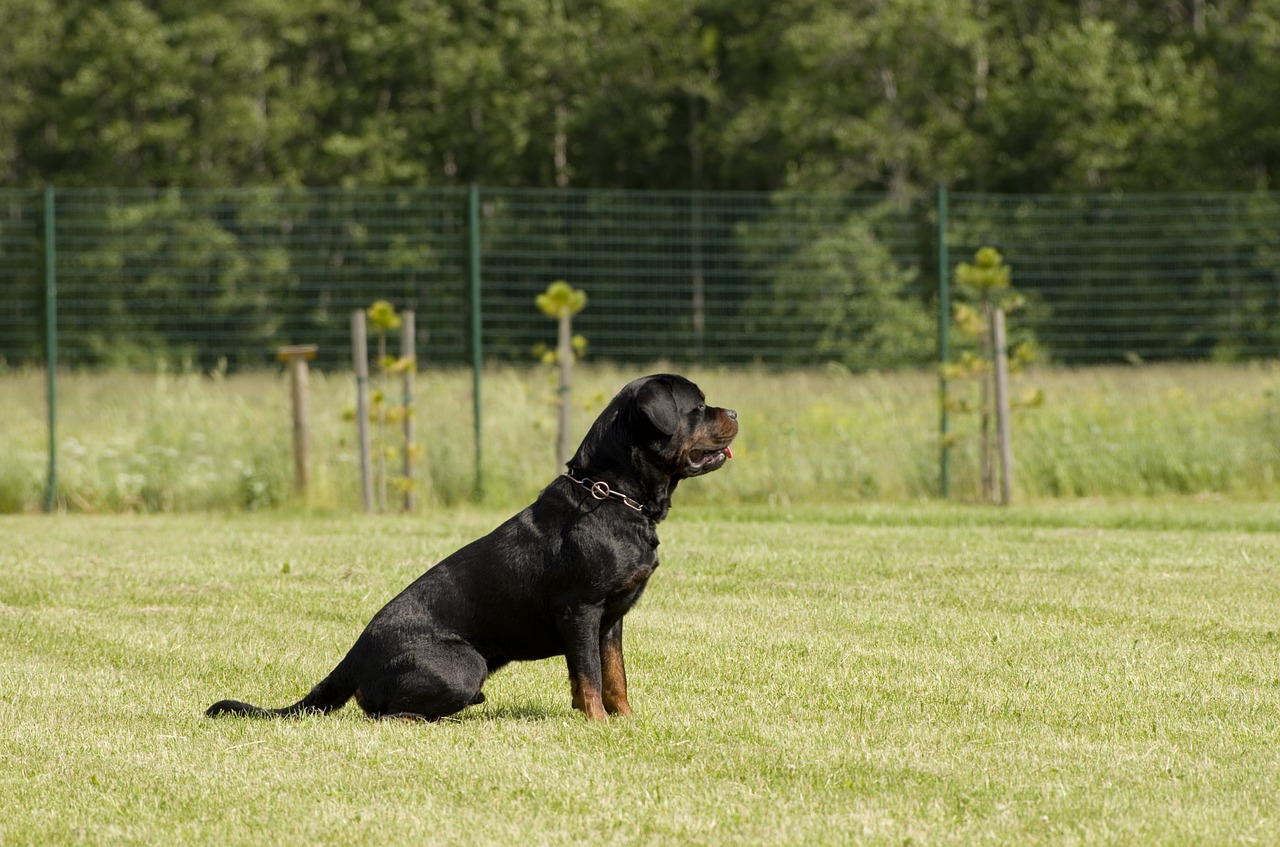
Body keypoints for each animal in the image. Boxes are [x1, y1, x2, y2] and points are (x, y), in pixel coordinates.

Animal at [204, 376, 737, 721]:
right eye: (698, 406)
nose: (733, 412)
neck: (611, 496)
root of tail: (355, 654)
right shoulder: (581, 610)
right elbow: (587, 677)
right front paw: (597, 724)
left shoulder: (611, 619)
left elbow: (615, 675)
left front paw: (625, 720)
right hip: (466, 664)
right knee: (383, 713)